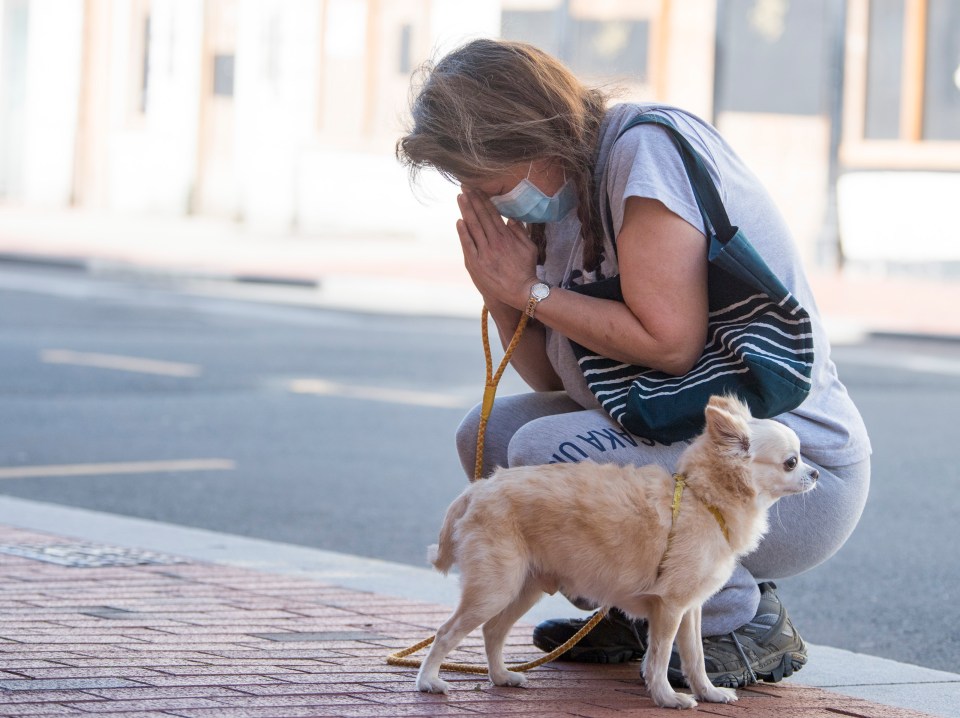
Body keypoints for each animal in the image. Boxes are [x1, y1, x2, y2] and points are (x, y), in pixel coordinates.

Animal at [416, 396, 820, 712]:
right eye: (791, 462)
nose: (815, 473)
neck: (703, 500)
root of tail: (479, 489)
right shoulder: (669, 608)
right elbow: (659, 657)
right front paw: (667, 698)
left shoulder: (690, 609)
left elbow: (695, 657)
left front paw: (708, 692)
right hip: (495, 588)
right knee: (447, 632)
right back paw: (429, 682)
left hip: (524, 589)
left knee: (493, 631)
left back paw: (501, 677)